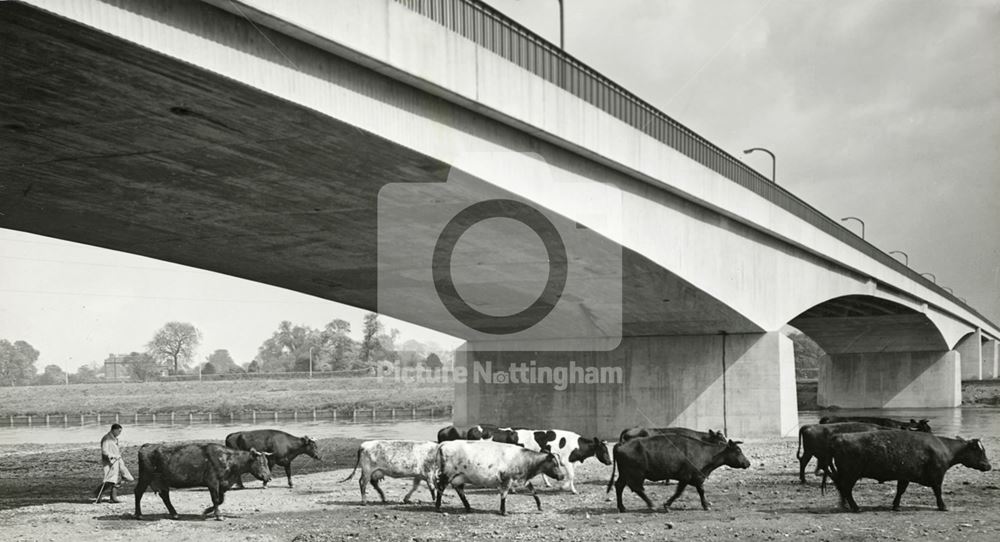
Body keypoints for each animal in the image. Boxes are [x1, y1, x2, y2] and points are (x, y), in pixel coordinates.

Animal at [136, 446, 274, 524]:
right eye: (261, 463)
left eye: (267, 462)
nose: (269, 477)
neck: (228, 460)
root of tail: (146, 446)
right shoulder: (212, 482)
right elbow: (216, 499)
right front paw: (218, 516)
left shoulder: (222, 485)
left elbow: (220, 500)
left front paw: (207, 510)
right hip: (145, 477)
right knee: (138, 492)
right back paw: (139, 515)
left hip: (162, 481)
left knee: (165, 496)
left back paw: (174, 514)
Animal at [436, 442, 568, 520]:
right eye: (555, 464)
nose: (562, 476)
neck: (524, 459)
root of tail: (445, 444)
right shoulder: (507, 479)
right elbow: (504, 495)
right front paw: (503, 511)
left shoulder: (522, 479)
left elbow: (534, 491)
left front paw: (540, 507)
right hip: (447, 475)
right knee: (441, 488)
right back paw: (438, 507)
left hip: (459, 477)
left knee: (460, 491)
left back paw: (468, 508)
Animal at [604, 434, 748, 516]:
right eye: (738, 450)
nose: (748, 463)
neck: (706, 453)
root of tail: (621, 444)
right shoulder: (687, 477)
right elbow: (680, 492)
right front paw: (667, 506)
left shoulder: (694, 478)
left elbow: (700, 491)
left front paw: (705, 505)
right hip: (636, 474)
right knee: (637, 488)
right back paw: (651, 505)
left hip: (625, 473)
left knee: (619, 486)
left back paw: (622, 507)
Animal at [828, 430, 992, 516]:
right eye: (979, 450)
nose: (988, 466)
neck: (945, 448)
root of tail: (840, 436)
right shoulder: (937, 475)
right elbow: (938, 491)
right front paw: (942, 506)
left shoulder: (904, 476)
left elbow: (900, 491)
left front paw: (896, 506)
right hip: (851, 474)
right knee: (846, 489)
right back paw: (856, 508)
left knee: (842, 489)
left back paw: (845, 505)